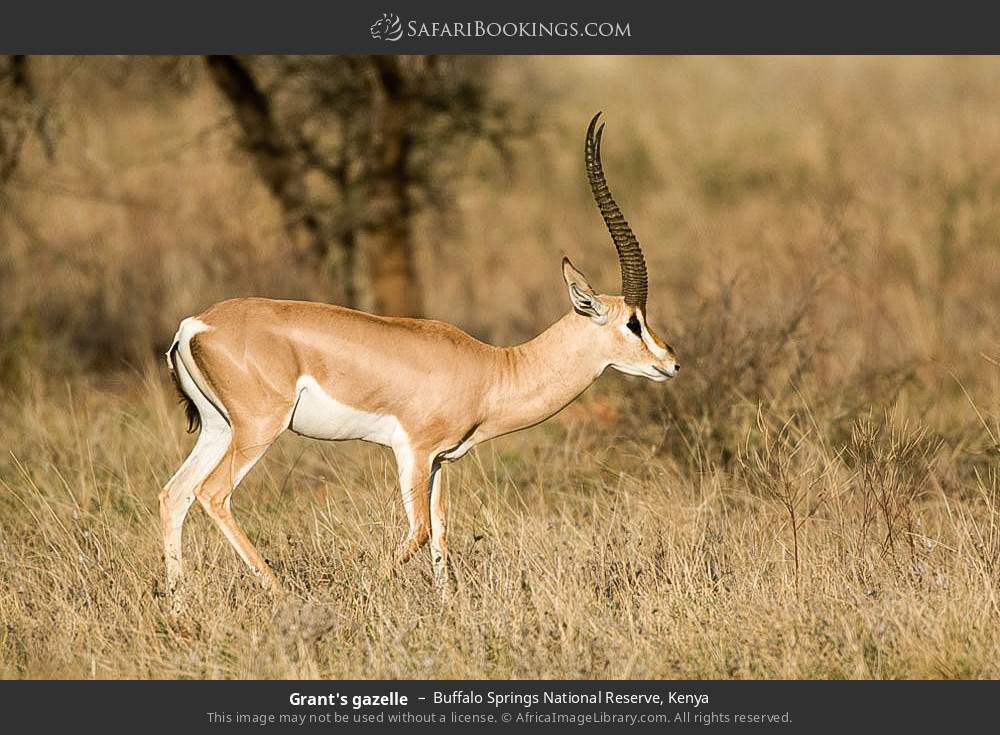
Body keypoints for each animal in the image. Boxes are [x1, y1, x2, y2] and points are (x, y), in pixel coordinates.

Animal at [159, 113, 680, 604]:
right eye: (633, 322)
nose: (671, 363)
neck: (491, 369)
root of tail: (194, 325)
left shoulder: (440, 462)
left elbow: (441, 533)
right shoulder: (413, 451)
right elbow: (421, 530)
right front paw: (366, 595)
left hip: (219, 427)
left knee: (174, 494)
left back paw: (178, 604)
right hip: (259, 429)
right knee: (212, 494)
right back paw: (279, 592)